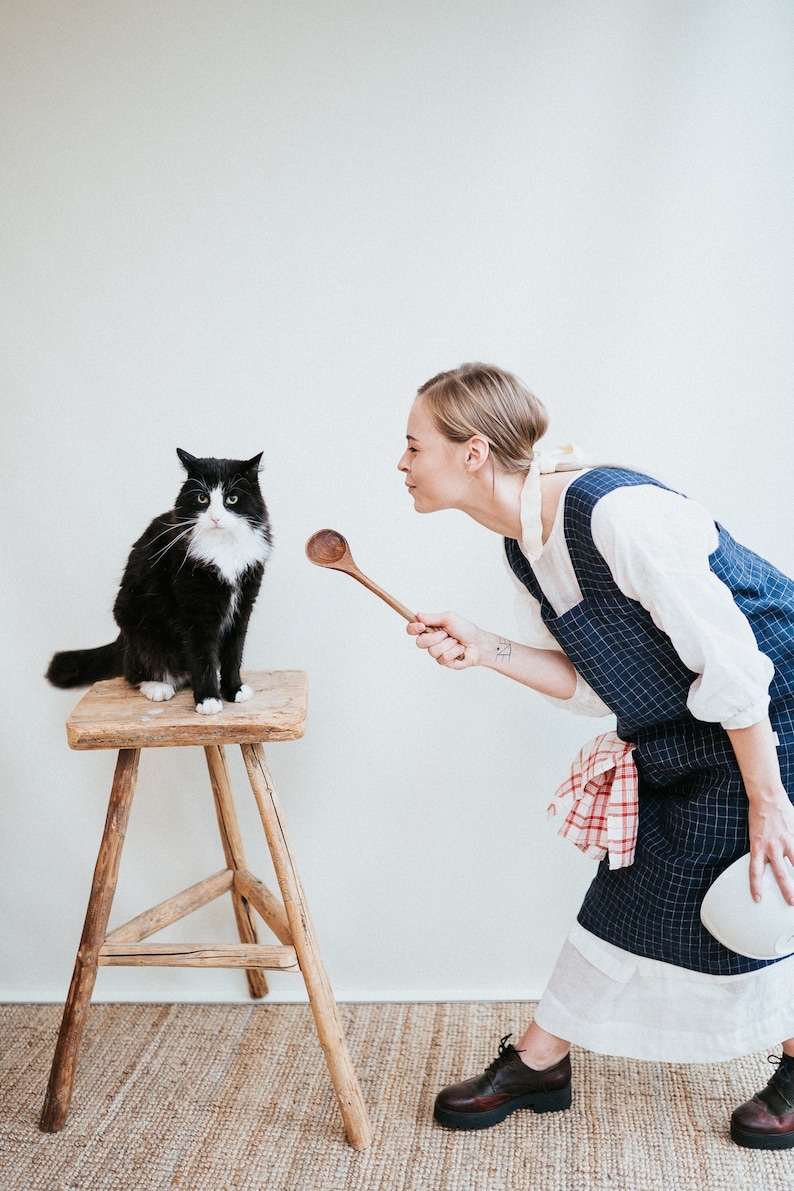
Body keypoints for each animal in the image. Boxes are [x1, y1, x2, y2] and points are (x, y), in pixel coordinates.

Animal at [49, 450, 274, 714]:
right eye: (202, 498)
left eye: (232, 498)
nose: (216, 518)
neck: (223, 549)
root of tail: (122, 640)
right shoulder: (194, 610)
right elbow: (202, 657)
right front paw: (208, 698)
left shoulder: (243, 605)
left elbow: (234, 652)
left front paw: (233, 689)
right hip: (138, 625)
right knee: (134, 672)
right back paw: (157, 686)